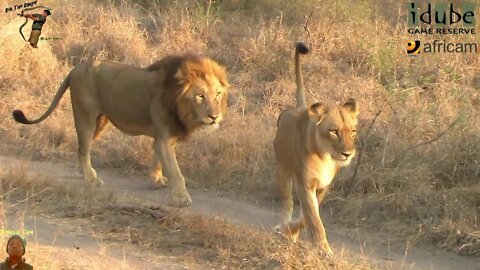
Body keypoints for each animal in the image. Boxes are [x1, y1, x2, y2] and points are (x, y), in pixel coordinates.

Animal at [11, 54, 229, 207]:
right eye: (200, 95)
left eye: (218, 94)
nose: (214, 116)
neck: (180, 104)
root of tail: (76, 68)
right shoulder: (164, 137)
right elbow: (176, 171)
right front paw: (181, 198)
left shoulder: (164, 137)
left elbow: (159, 160)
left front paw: (156, 180)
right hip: (86, 118)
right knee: (84, 149)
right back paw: (91, 179)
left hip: (100, 122)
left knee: (81, 150)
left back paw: (85, 173)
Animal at [272, 42, 358, 255]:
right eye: (334, 131)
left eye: (353, 131)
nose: (348, 153)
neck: (326, 156)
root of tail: (300, 107)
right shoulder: (305, 184)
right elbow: (313, 218)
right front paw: (323, 250)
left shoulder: (323, 186)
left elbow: (307, 216)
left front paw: (292, 231)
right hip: (283, 170)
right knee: (286, 203)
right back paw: (283, 227)